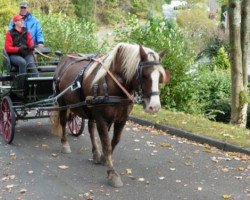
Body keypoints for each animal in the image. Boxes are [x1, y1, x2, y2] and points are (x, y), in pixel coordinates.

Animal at [52, 42, 171, 188]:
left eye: (160, 77)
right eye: (144, 75)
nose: (154, 107)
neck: (113, 84)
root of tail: (64, 59)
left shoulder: (121, 119)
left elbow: (113, 141)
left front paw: (104, 158)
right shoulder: (101, 119)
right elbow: (107, 144)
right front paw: (112, 174)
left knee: (90, 128)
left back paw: (96, 153)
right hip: (62, 102)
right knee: (63, 122)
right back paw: (65, 144)